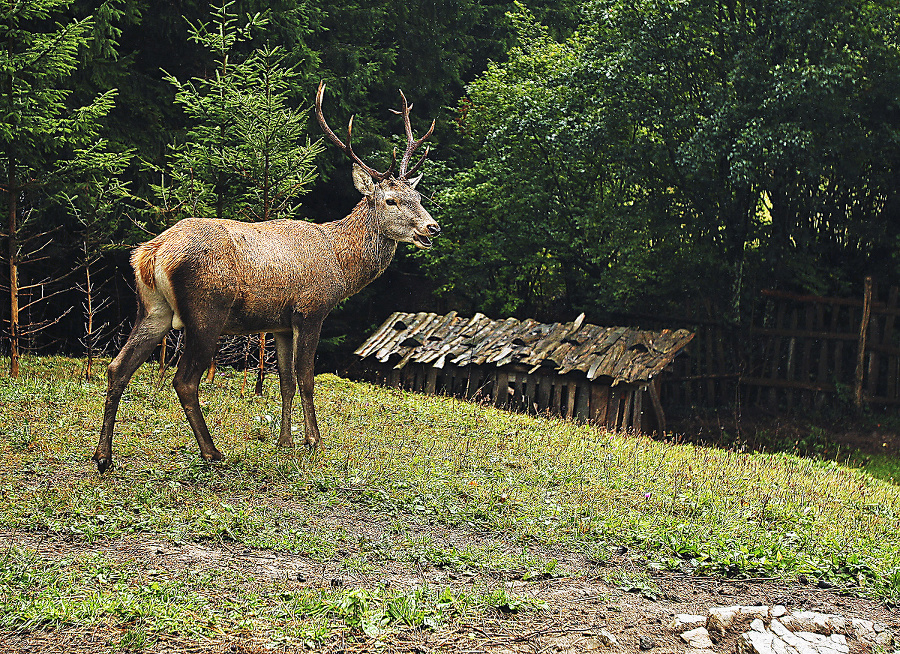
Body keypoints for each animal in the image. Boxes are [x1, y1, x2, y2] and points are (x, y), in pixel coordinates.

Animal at [92, 82, 440, 474]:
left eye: (418, 195)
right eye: (391, 200)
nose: (432, 227)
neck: (340, 263)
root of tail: (152, 253)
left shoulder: (280, 324)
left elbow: (285, 381)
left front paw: (284, 441)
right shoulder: (311, 310)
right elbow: (306, 377)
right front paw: (314, 441)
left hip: (153, 309)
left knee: (118, 367)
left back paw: (103, 456)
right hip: (206, 310)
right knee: (184, 380)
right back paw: (211, 451)